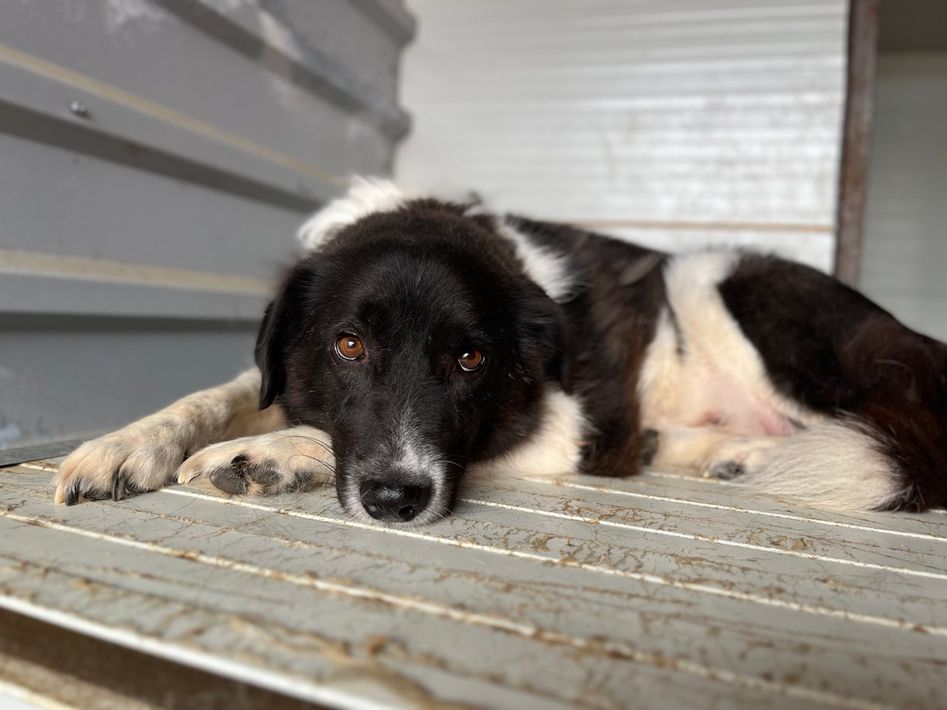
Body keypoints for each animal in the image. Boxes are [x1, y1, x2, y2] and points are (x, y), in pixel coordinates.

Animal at [54, 178, 947, 524]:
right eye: (349, 344)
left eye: (470, 360)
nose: (397, 501)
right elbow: (222, 393)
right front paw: (123, 446)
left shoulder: (567, 428)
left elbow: (311, 429)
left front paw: (266, 455)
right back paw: (726, 457)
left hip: (719, 278)